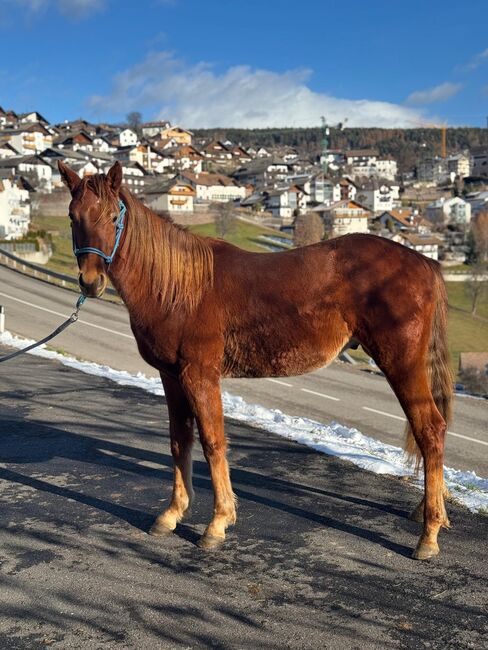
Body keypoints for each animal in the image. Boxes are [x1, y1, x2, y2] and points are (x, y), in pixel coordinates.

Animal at [59, 161, 452, 556]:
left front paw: (218, 523)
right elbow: (179, 441)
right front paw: (172, 513)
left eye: (113, 217)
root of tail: (425, 263)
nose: (90, 282)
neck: (179, 287)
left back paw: (429, 534)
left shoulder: (200, 375)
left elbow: (213, 443)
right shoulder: (171, 376)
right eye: (73, 216)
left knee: (430, 430)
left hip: (402, 366)